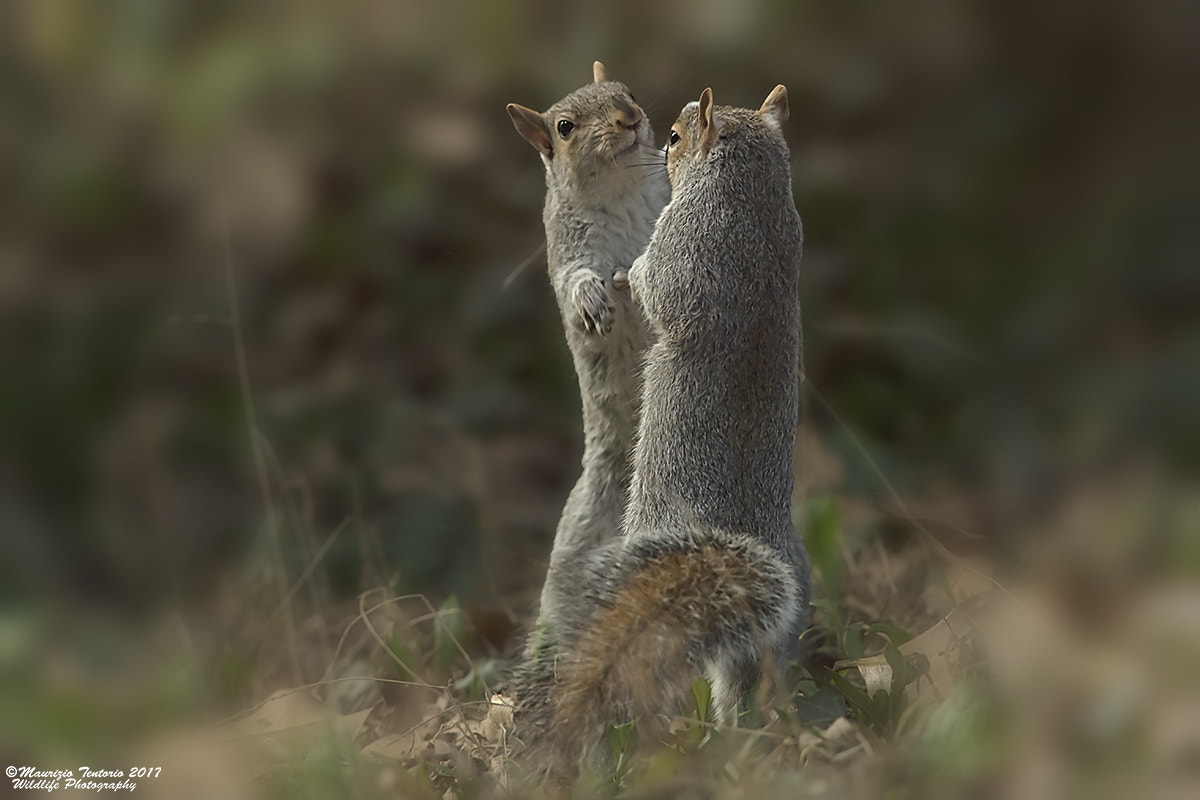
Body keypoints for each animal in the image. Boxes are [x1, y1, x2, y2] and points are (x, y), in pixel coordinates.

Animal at [506, 62, 676, 642]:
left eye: (628, 92)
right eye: (564, 127)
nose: (630, 118)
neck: (621, 189)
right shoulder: (567, 252)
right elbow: (575, 281)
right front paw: (592, 301)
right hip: (575, 546)